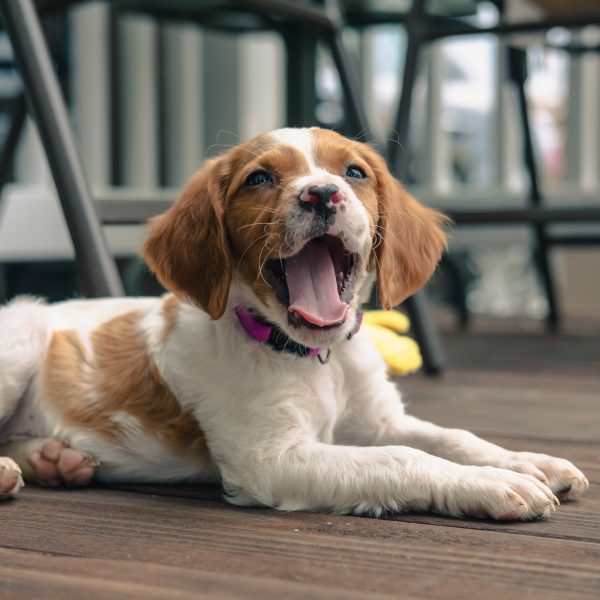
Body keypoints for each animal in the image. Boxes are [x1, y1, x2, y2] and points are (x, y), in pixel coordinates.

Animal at [0, 129, 592, 516]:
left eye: (354, 172)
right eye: (259, 178)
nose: (322, 193)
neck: (315, 357)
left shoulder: (377, 421)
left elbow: (451, 435)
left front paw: (527, 462)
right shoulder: (269, 458)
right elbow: (401, 458)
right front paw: (493, 484)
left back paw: (53, 459)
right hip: (21, 342)